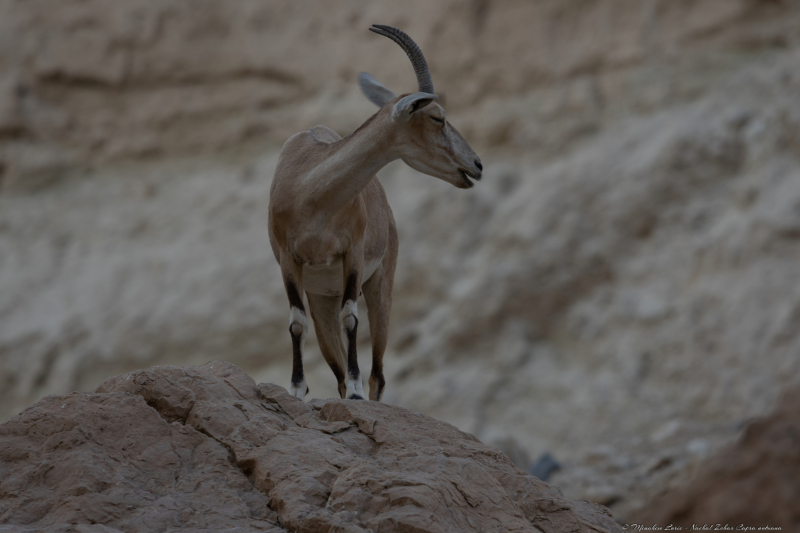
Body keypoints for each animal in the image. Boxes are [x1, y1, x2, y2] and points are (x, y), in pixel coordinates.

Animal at [268, 25, 482, 401]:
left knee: (378, 374)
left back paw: (361, 393)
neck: (311, 193)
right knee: (336, 365)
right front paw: (295, 388)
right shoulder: (288, 260)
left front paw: (355, 390)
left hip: (381, 286)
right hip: (321, 298)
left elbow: (351, 317)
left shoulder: (351, 253)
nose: (476, 165)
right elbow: (296, 321)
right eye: (437, 117)